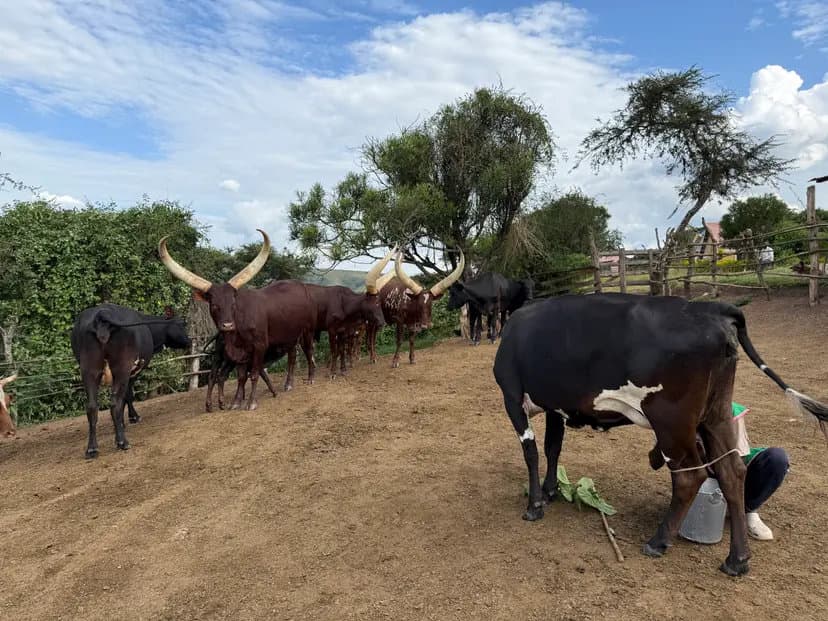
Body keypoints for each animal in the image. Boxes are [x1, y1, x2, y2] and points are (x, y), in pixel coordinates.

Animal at [71, 304, 192, 458]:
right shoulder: (132, 372)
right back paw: (122, 442)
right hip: (121, 368)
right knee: (115, 403)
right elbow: (128, 396)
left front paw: (121, 423)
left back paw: (92, 448)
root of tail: (101, 314)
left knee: (92, 406)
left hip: (89, 370)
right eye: (182, 324)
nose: (190, 341)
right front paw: (132, 417)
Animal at [159, 230, 317, 411]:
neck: (238, 332)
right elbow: (241, 377)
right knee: (292, 357)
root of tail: (302, 286)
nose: (227, 325)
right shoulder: (241, 353)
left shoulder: (259, 347)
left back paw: (310, 378)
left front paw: (251, 402)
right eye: (214, 305)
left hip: (307, 331)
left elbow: (254, 374)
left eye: (233, 303)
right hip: (289, 336)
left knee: (308, 351)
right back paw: (288, 384)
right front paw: (235, 402)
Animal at [493, 293, 828, 576]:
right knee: (731, 472)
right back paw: (737, 560)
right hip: (716, 414)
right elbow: (553, 447)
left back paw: (658, 541)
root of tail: (710, 308)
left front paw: (534, 506)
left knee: (690, 477)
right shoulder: (555, 405)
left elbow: (531, 452)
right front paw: (550, 491)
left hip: (672, 424)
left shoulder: (512, 396)